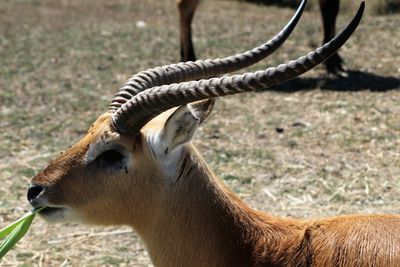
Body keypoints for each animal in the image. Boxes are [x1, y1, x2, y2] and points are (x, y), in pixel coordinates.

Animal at [177, 0, 346, 75]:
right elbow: (330, 11)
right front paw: (333, 64)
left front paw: (335, 61)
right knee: (184, 7)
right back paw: (190, 56)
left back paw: (185, 56)